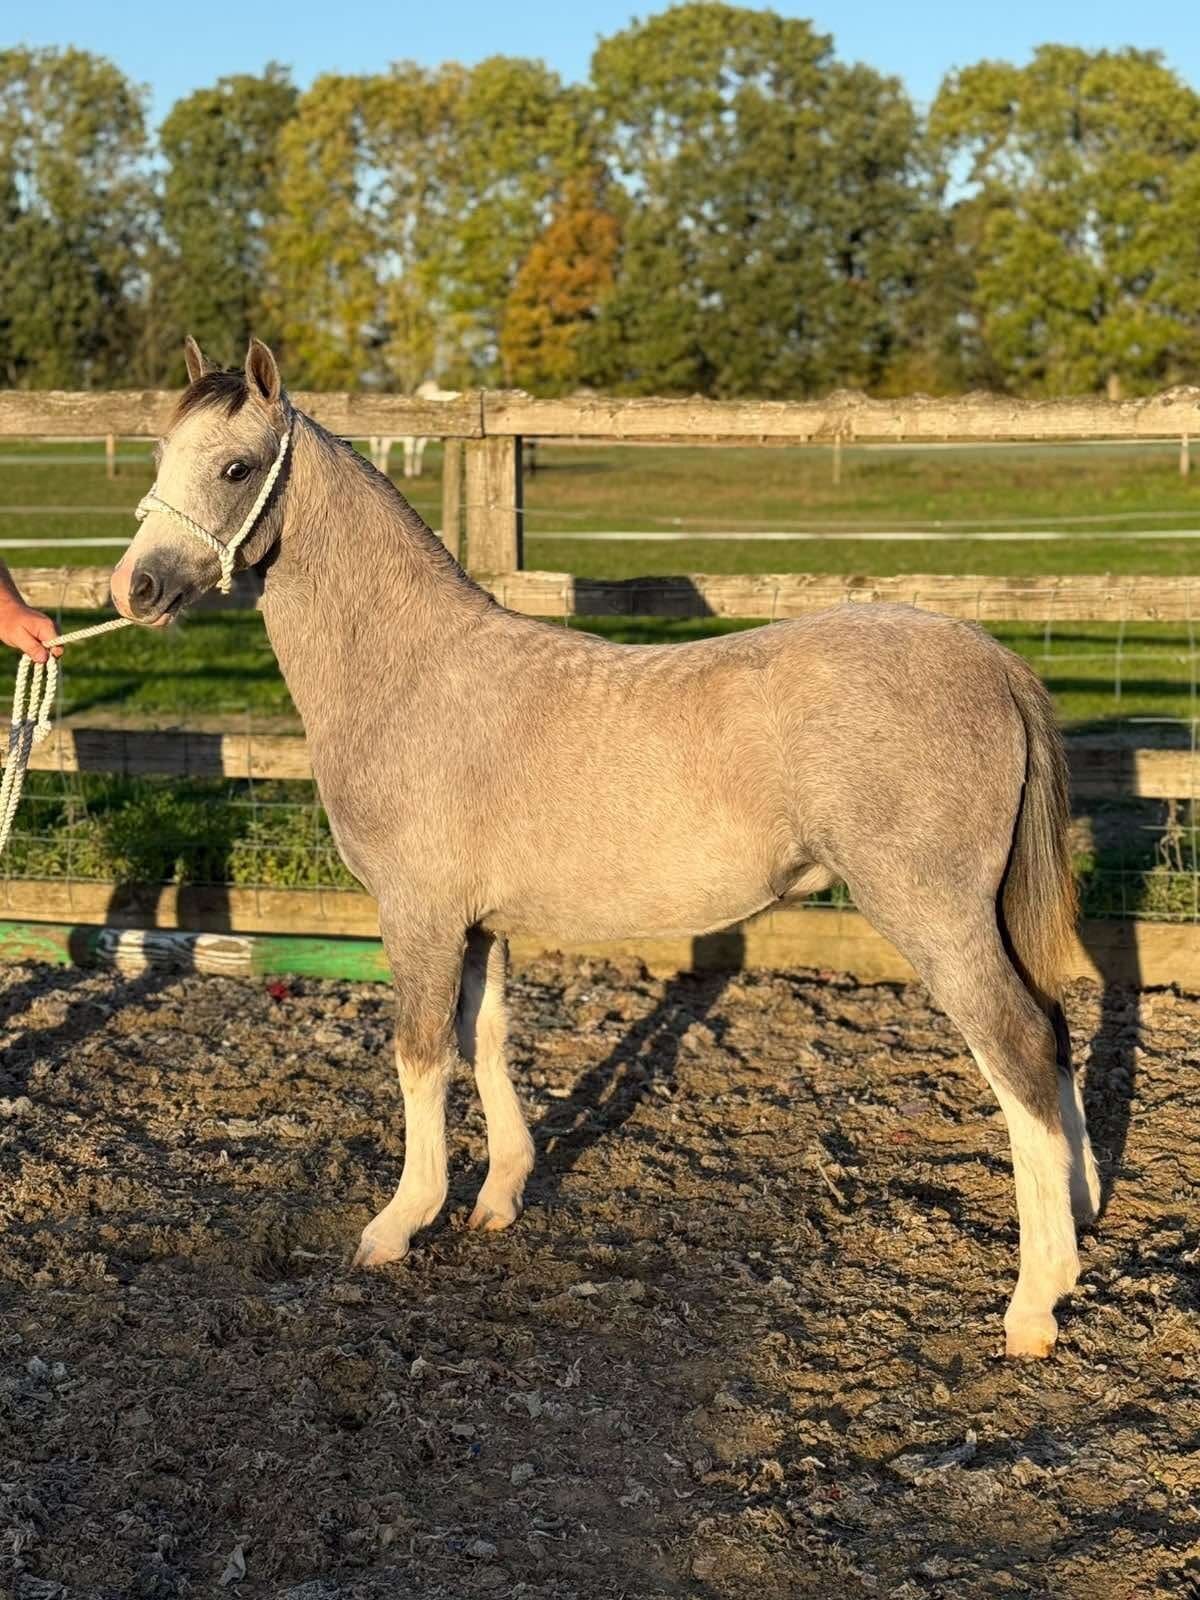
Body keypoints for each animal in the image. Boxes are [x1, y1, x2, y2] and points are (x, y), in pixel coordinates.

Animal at [110, 337, 1102, 1359]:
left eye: (235, 468)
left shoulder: (418, 916)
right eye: (158, 454)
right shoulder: (479, 925)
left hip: (935, 913)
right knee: (1056, 1029)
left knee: (1019, 1047)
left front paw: (400, 1222)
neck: (412, 672)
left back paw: (1035, 1302)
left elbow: (421, 1054)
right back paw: (1079, 1213)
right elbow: (486, 1037)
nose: (133, 588)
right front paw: (500, 1196)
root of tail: (987, 654)